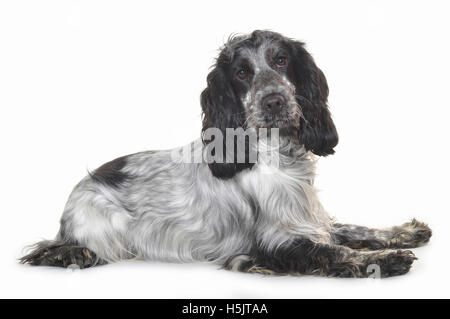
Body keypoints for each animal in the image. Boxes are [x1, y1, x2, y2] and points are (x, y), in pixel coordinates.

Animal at [21, 31, 432, 278]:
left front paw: (404, 232)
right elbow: (336, 253)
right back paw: (75, 254)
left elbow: (354, 229)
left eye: (281, 60)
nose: (274, 101)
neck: (277, 154)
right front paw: (384, 260)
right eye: (241, 72)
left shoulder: (310, 220)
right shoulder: (275, 245)